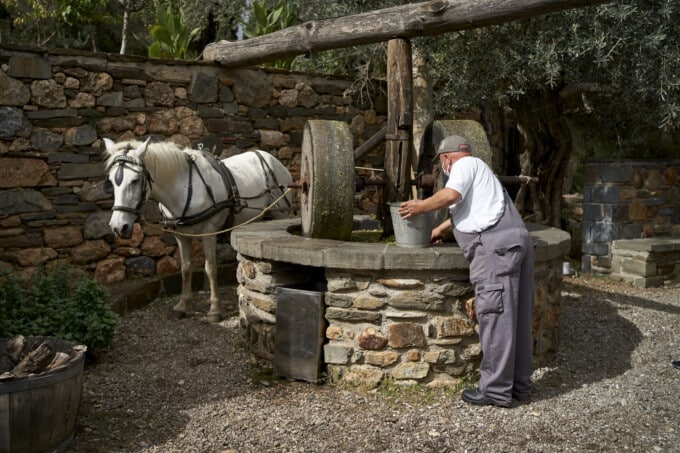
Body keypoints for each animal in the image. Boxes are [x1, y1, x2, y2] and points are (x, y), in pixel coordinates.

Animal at [102, 138, 294, 322]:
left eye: (134, 180)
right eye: (111, 181)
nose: (118, 227)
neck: (183, 189)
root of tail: (271, 158)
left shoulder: (209, 232)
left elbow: (210, 268)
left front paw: (214, 310)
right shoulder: (181, 236)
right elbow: (186, 268)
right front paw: (181, 305)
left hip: (280, 213)